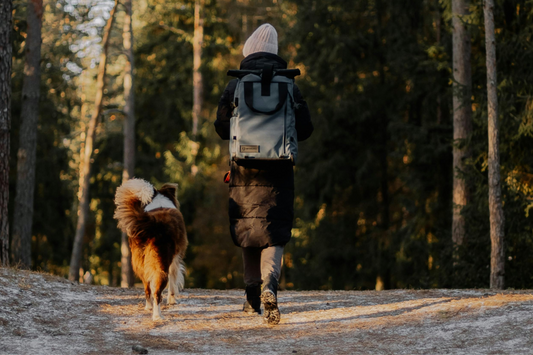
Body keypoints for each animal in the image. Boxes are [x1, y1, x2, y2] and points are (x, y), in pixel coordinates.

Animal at [113, 179, 188, 322]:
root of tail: (152, 224)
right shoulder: (175, 259)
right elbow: (173, 282)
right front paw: (172, 300)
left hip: (141, 264)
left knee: (147, 288)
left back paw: (148, 307)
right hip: (160, 265)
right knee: (157, 293)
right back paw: (157, 316)